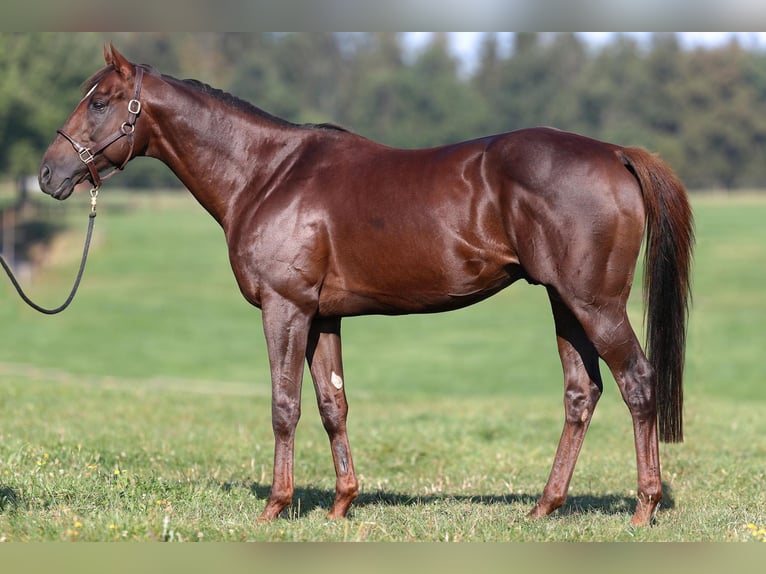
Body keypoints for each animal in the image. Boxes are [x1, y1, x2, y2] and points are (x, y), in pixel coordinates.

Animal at [38, 45, 693, 526]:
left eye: (101, 102)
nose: (47, 174)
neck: (267, 174)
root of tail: (616, 153)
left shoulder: (284, 309)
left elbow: (284, 406)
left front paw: (276, 506)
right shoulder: (323, 316)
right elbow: (333, 405)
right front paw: (341, 503)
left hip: (594, 303)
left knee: (638, 384)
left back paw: (644, 509)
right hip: (564, 303)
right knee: (582, 394)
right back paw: (543, 507)